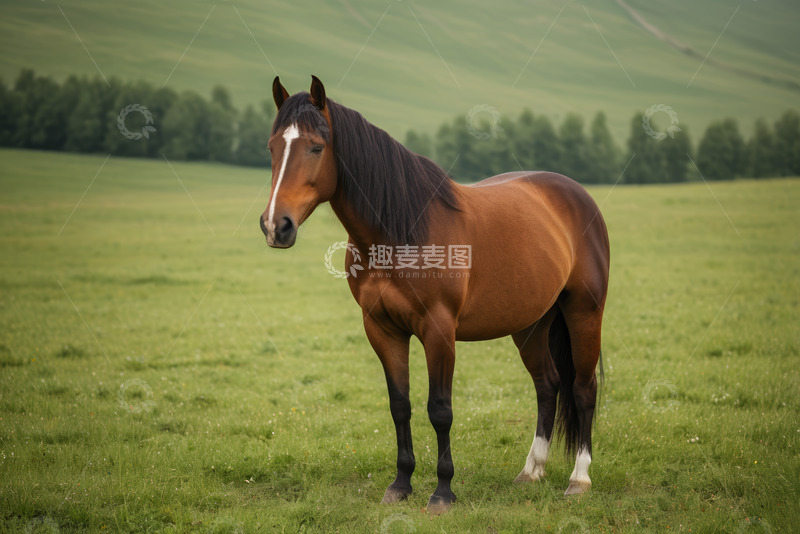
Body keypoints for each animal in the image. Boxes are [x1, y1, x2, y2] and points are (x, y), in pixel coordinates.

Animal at [259, 76, 610, 514]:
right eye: (272, 147)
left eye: (316, 147)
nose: (276, 226)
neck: (401, 231)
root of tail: (577, 194)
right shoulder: (383, 330)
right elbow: (400, 406)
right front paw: (400, 484)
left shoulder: (439, 330)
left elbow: (439, 410)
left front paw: (443, 492)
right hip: (531, 322)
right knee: (548, 385)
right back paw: (532, 471)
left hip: (584, 311)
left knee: (582, 388)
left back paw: (579, 479)